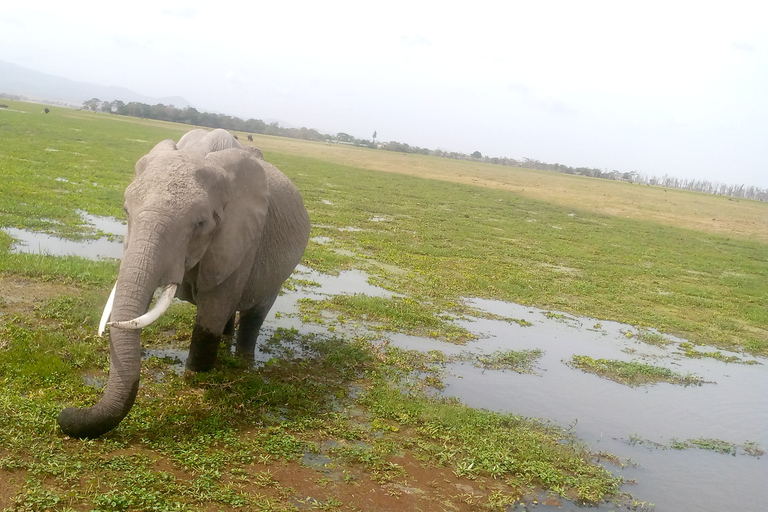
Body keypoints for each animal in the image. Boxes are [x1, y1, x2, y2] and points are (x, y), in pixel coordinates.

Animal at [57, 130, 308, 438]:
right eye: (126, 210)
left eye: (200, 224)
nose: (66, 414)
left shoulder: (241, 238)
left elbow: (213, 307)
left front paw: (195, 376)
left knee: (254, 313)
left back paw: (243, 363)